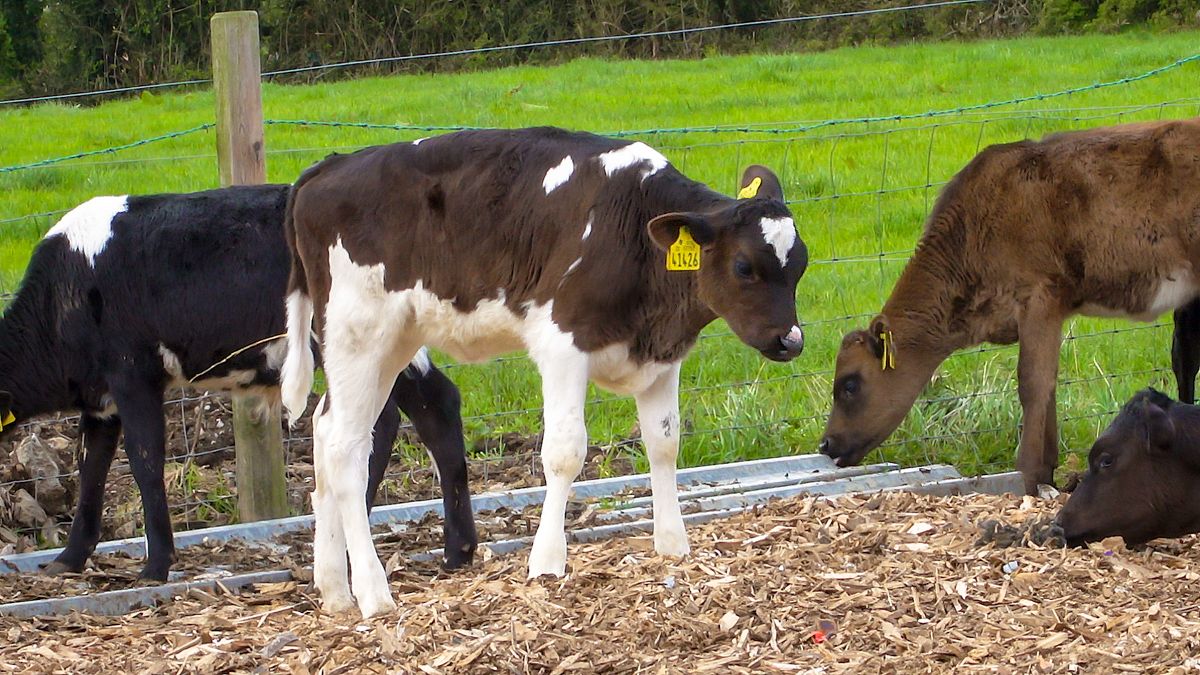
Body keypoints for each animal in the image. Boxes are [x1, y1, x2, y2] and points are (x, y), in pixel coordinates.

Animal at [0, 185, 476, 582]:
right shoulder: (100, 400)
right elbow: (91, 469)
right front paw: (68, 559)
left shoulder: (133, 374)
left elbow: (145, 461)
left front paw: (155, 567)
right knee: (434, 407)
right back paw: (458, 551)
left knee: (390, 419)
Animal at [280, 126, 808, 617]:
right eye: (744, 267)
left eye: (799, 266)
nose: (792, 341)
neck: (632, 224)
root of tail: (329, 166)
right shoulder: (562, 344)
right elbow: (564, 453)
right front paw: (547, 562)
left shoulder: (662, 356)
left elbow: (664, 444)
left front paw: (673, 545)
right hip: (358, 332)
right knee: (347, 449)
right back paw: (373, 594)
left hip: (391, 342)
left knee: (326, 431)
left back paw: (335, 590)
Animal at [818, 118, 1200, 496]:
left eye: (849, 385)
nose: (825, 443)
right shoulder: (1051, 311)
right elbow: (1048, 384)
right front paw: (1047, 474)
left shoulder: (1039, 296)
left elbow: (1032, 383)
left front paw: (1027, 475)